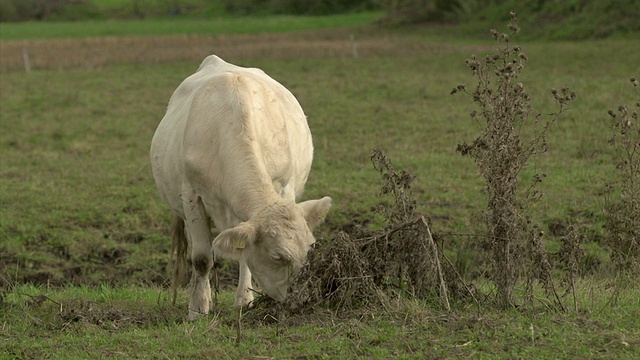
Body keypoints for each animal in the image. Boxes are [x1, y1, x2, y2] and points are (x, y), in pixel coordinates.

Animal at [150, 54, 330, 320]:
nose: (304, 299)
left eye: (311, 249)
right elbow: (202, 258)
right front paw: (197, 311)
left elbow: (245, 254)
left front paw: (244, 300)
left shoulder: (283, 188)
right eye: (278, 257)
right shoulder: (192, 196)